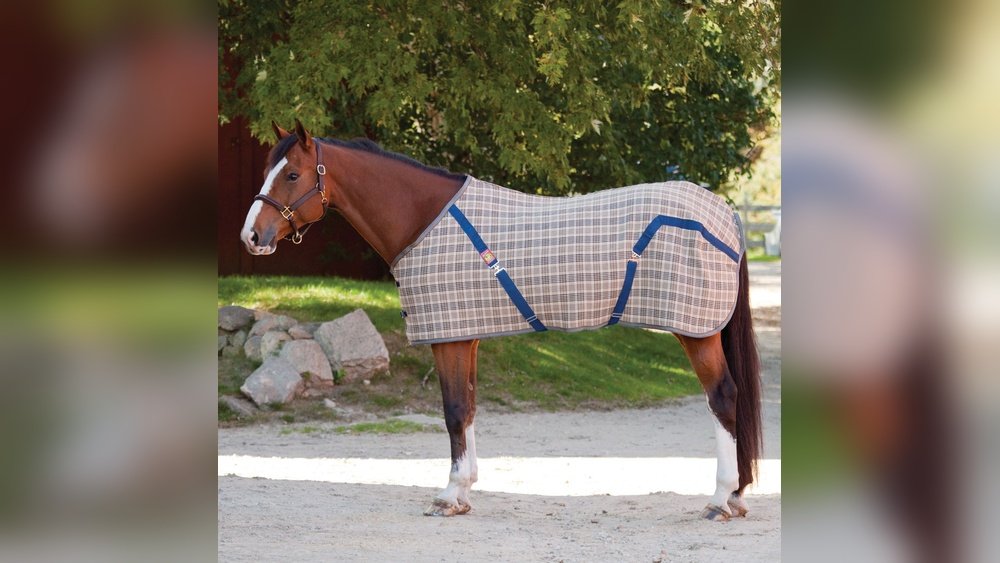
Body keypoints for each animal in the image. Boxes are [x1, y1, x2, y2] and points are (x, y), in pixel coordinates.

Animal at [241, 120, 762, 521]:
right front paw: (464, 490)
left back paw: (720, 500)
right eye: (266, 171)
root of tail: (726, 214)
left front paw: (448, 497)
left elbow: (453, 411)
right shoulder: (465, 335)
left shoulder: (448, 337)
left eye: (292, 174)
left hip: (696, 331)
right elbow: (468, 408)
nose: (251, 236)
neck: (424, 220)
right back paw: (736, 496)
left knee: (723, 397)